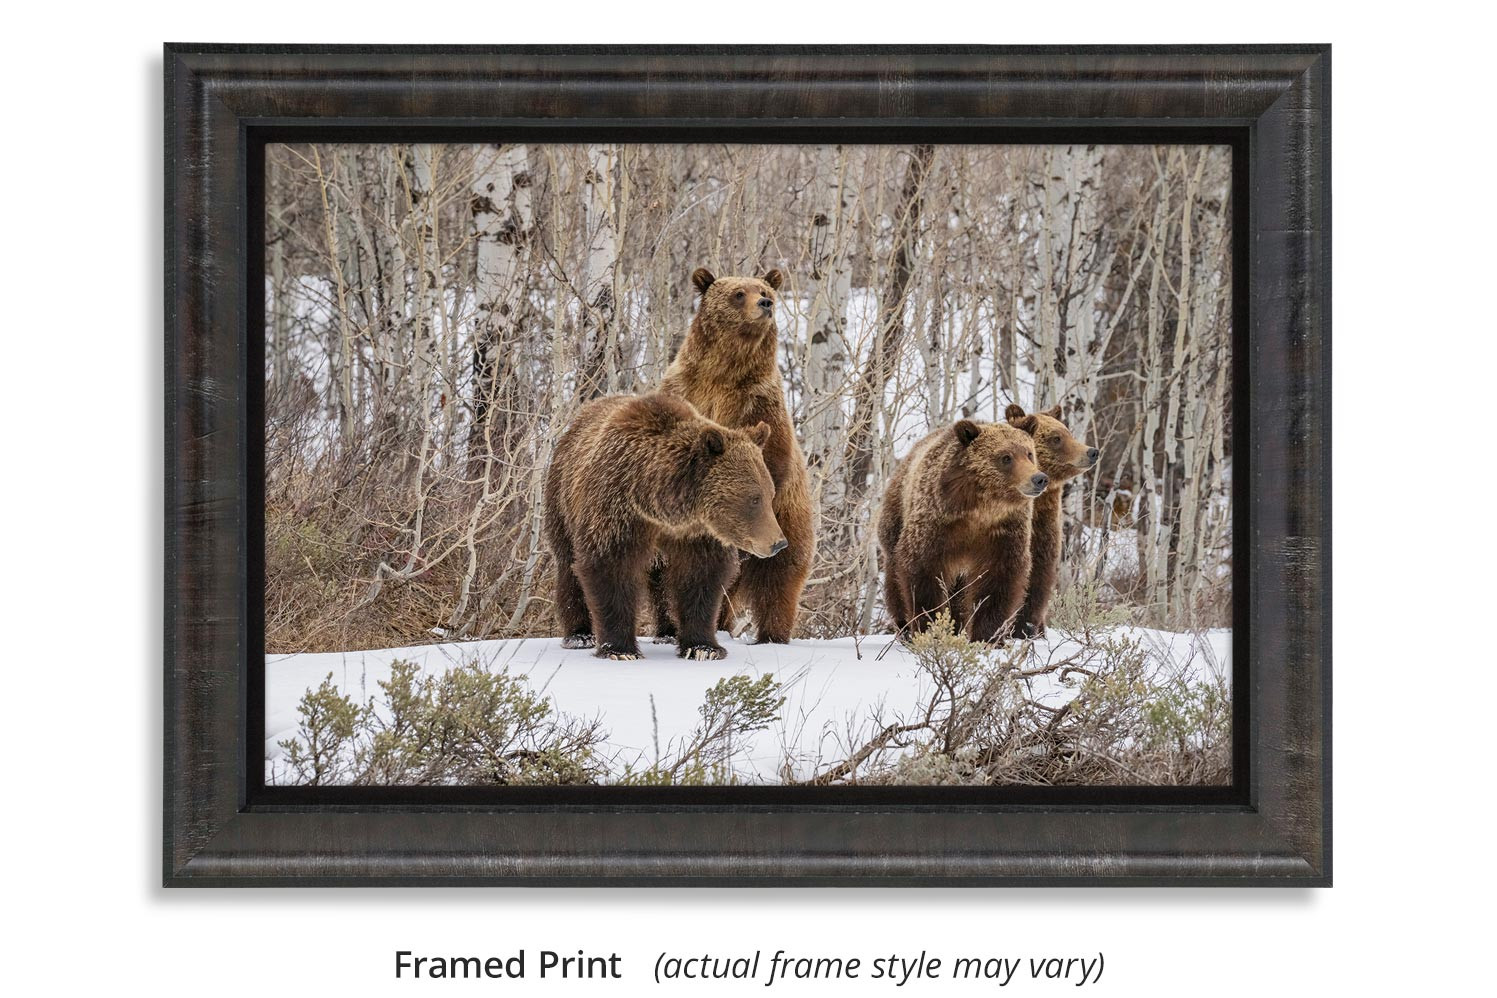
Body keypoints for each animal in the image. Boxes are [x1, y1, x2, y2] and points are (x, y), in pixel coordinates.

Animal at [543, 392, 784, 661]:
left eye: (770, 494)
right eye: (754, 499)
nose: (778, 543)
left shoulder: (695, 534)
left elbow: (700, 578)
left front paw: (703, 647)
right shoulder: (616, 510)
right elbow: (610, 568)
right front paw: (620, 649)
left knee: (661, 583)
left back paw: (667, 632)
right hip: (562, 501)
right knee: (568, 566)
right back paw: (579, 635)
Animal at [650, 266, 814, 644]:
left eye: (765, 289)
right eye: (739, 293)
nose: (765, 303)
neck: (723, 374)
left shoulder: (760, 405)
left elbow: (771, 455)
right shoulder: (684, 391)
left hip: (789, 525)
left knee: (779, 580)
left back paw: (771, 634)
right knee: (662, 577)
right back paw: (671, 627)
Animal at [877, 419, 1049, 642]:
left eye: (1029, 453)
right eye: (1005, 457)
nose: (1039, 479)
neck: (980, 509)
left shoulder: (1003, 532)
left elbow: (999, 581)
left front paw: (988, 636)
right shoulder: (937, 524)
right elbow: (922, 572)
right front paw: (929, 627)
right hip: (896, 515)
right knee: (894, 578)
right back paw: (904, 627)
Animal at [1005, 404, 1100, 638]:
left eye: (1068, 433)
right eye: (1056, 438)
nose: (1092, 451)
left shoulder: (1045, 538)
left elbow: (1039, 580)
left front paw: (1030, 627)